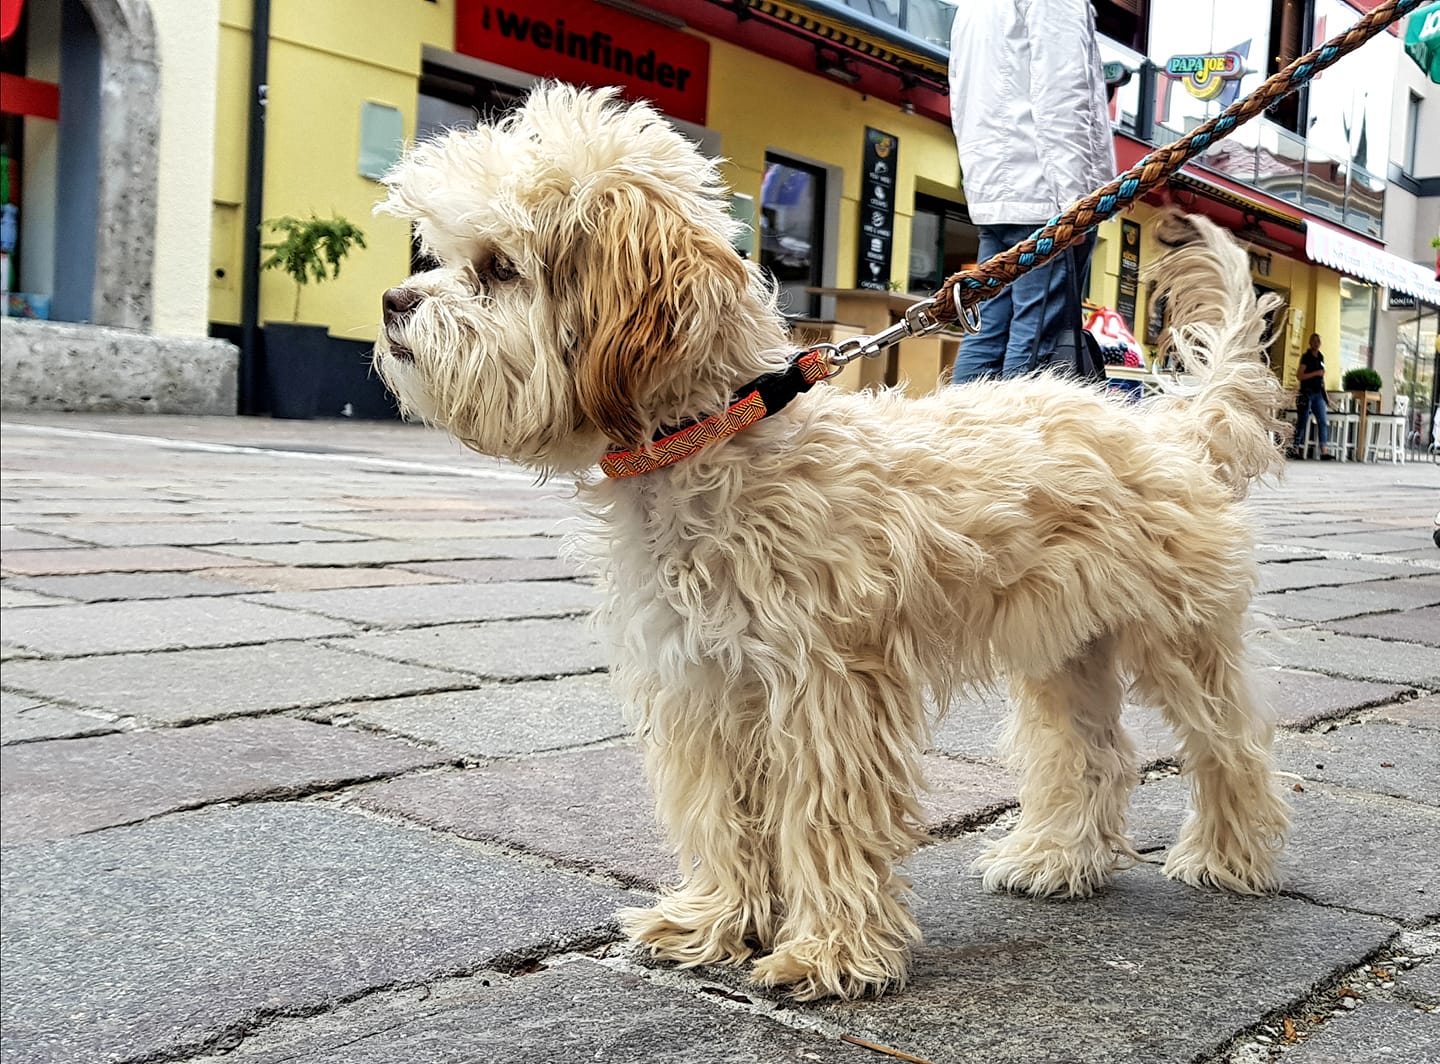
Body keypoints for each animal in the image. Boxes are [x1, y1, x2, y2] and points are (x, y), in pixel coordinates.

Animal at [377, 80, 1290, 996]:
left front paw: (830, 953)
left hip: (1177, 638)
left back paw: (1226, 856)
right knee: (1097, 752)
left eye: (499, 268)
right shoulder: (702, 689)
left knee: (1230, 745)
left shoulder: (828, 690)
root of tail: (1176, 430)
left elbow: (823, 817)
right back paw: (1060, 859)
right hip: (1065, 648)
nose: (392, 301)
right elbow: (721, 815)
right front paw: (717, 923)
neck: (711, 437)